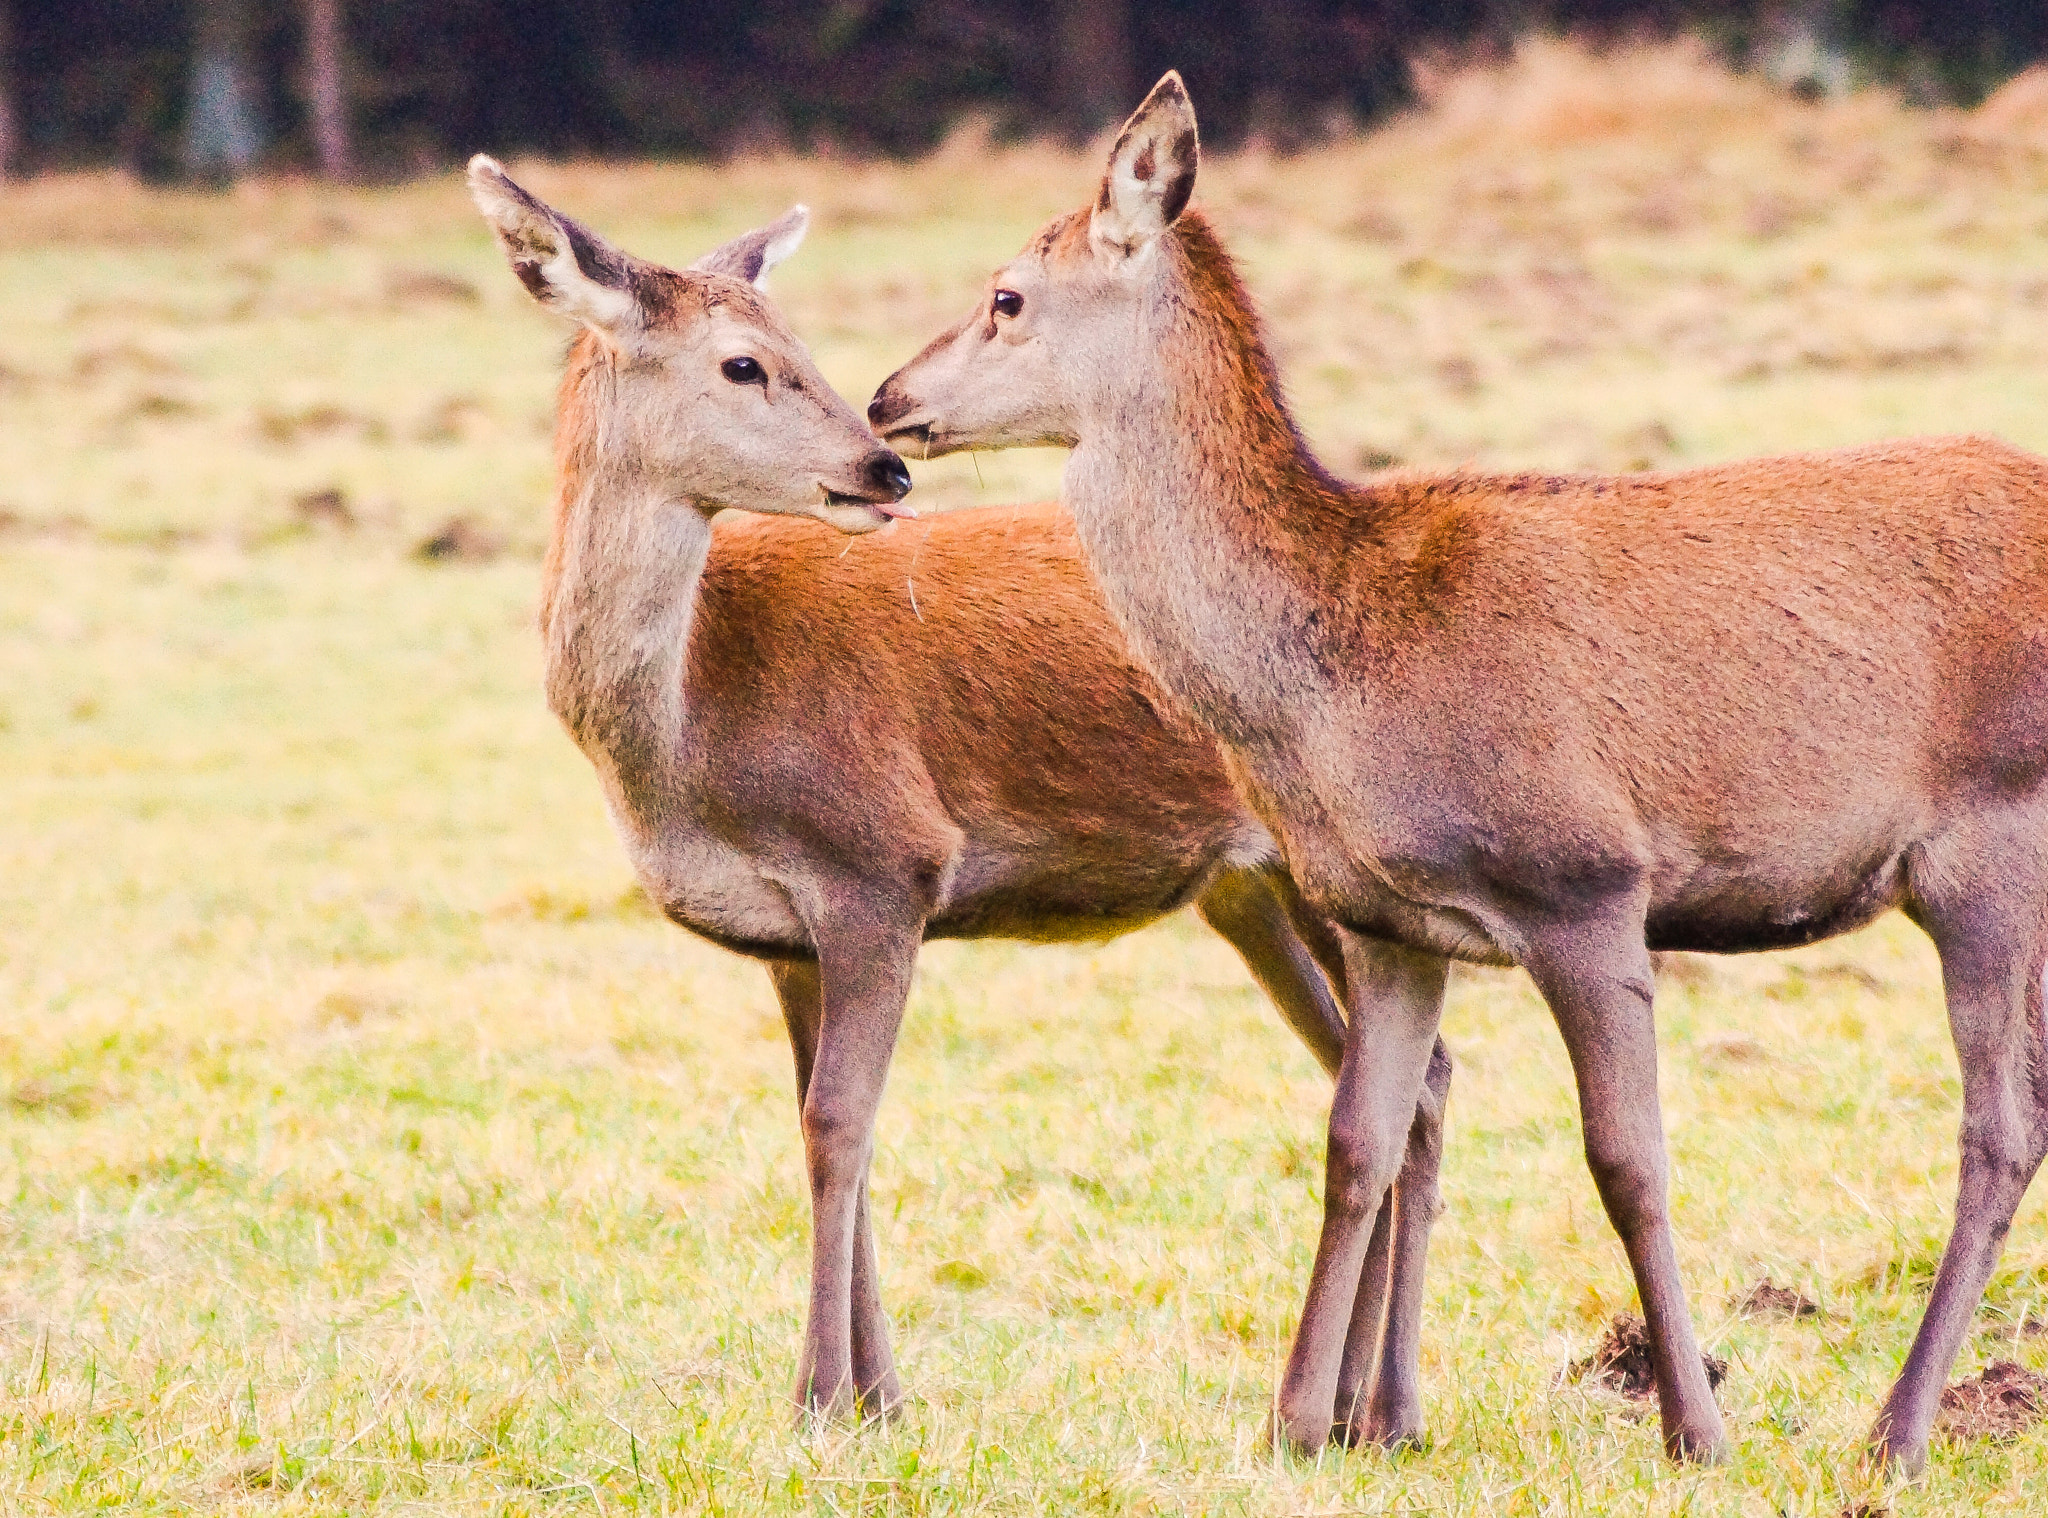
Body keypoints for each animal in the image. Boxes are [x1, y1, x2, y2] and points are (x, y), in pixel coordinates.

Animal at [468, 156, 1458, 1442]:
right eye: (743, 362)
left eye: (792, 341)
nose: (880, 465)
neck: (687, 740)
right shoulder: (784, 935)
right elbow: (819, 1123)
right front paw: (877, 1397)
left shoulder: (881, 860)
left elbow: (838, 1127)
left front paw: (821, 1399)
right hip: (1249, 892)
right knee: (1408, 1081)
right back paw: (1361, 1408)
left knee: (1419, 1082)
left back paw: (1376, 1409)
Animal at [872, 71, 2048, 1466]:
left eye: (1005, 294)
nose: (883, 402)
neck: (1330, 694)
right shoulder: (1384, 921)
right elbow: (1355, 1142)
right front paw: (1294, 1422)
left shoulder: (1584, 880)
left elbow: (1625, 1161)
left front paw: (1693, 1427)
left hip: (1989, 841)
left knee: (1997, 1127)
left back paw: (1896, 1429)